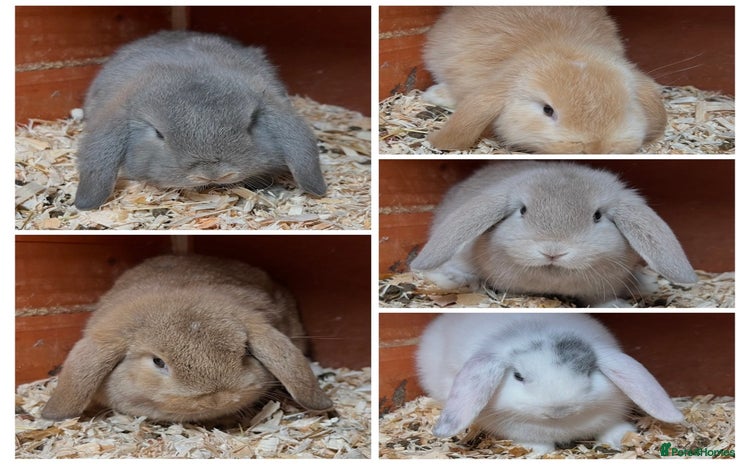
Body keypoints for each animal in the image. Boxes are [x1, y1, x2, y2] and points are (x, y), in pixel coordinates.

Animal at [416, 313, 684, 454]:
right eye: (518, 376)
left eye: (588, 371)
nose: (559, 409)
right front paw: (538, 453)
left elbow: (612, 429)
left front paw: (622, 439)